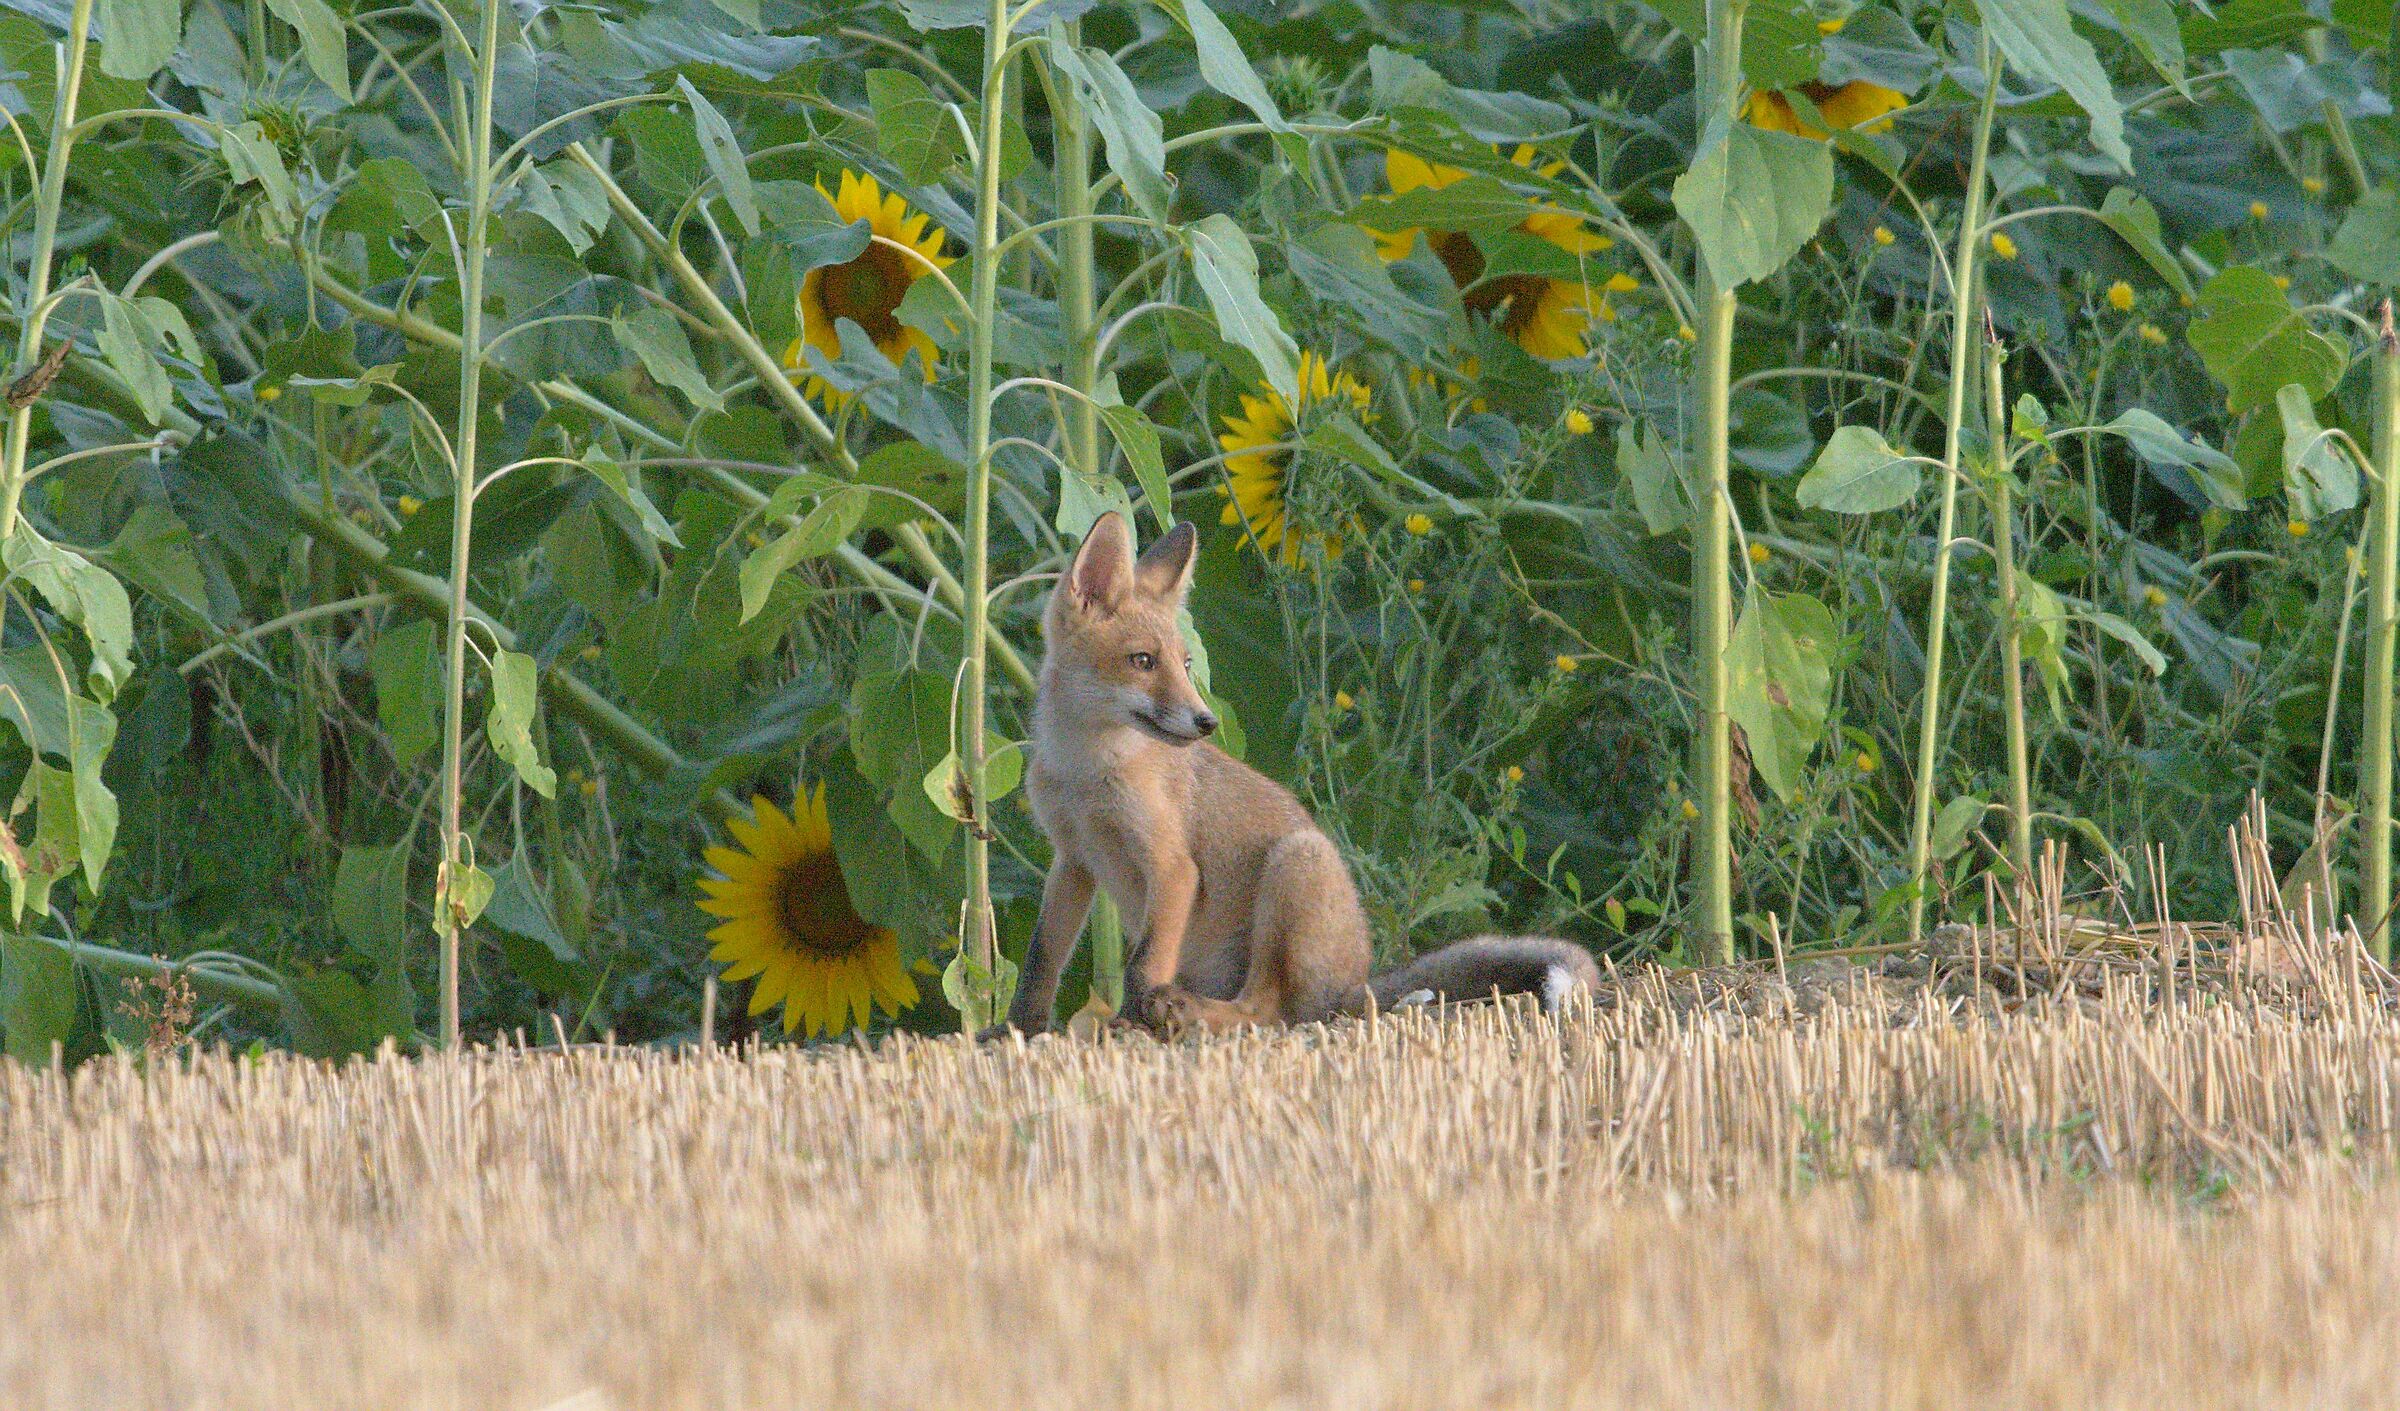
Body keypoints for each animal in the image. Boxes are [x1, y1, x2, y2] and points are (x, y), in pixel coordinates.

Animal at [998, 510, 1599, 1038]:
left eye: (1186, 665)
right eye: (1143, 661)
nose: (1207, 721)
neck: (1084, 775)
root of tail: (1356, 985)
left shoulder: (1172, 868)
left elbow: (1143, 964)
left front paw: (1126, 1025)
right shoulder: (1073, 859)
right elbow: (1040, 962)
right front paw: (1014, 1030)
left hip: (1294, 866)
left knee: (1266, 1011)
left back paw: (1187, 1013)